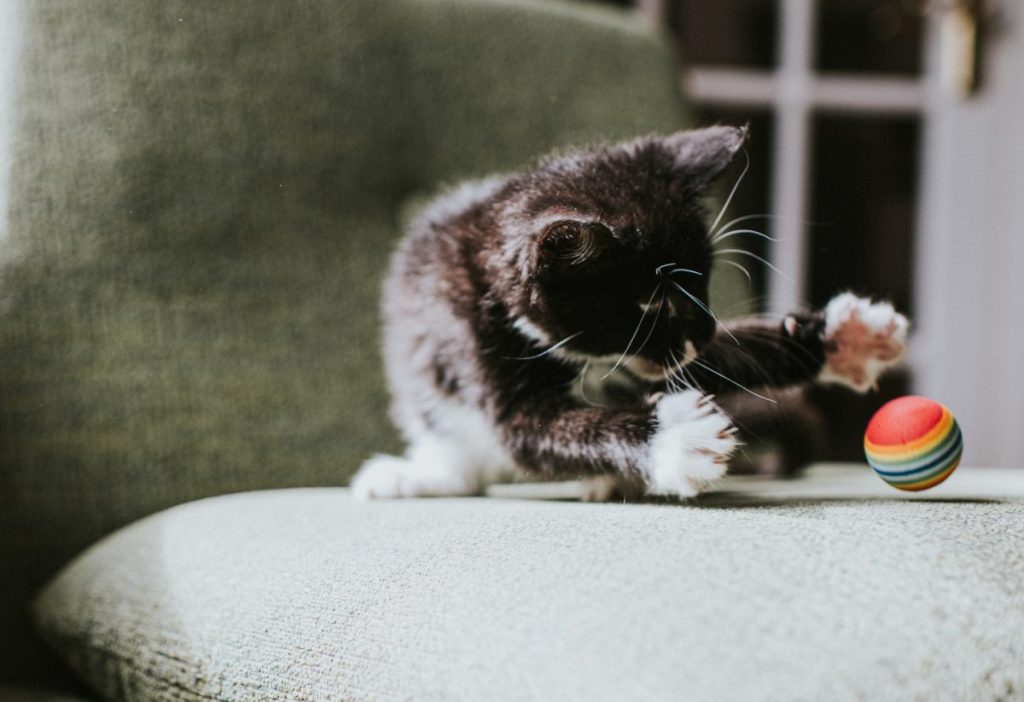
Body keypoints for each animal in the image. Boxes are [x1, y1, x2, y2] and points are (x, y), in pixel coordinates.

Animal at [352, 126, 905, 501]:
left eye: (702, 279)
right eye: (650, 302)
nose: (706, 329)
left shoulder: (669, 356)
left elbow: (729, 357)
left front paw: (846, 338)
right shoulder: (479, 349)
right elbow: (537, 435)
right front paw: (676, 438)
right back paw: (414, 476)